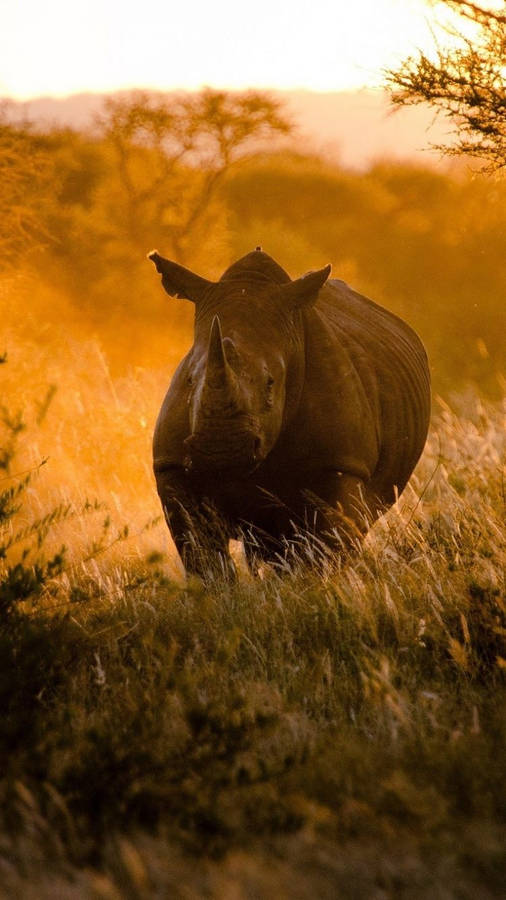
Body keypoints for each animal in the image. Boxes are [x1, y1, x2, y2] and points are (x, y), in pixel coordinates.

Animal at [149, 247, 430, 578]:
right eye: (190, 381)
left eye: (271, 382)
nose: (220, 449)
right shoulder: (172, 466)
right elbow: (201, 552)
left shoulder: (340, 462)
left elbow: (324, 546)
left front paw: (315, 585)